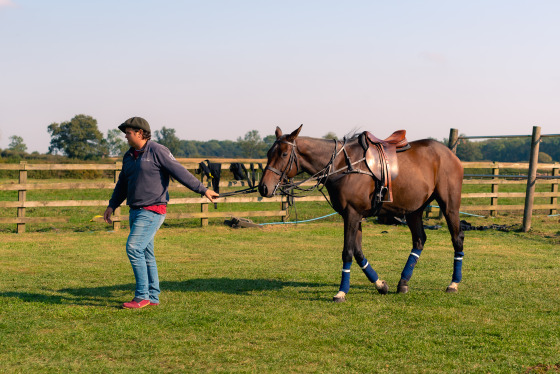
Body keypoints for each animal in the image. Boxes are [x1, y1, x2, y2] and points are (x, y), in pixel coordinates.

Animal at [260, 125, 466, 300]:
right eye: (269, 153)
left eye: (284, 153)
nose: (263, 187)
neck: (342, 166)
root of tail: (450, 154)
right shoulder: (354, 216)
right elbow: (358, 253)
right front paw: (380, 284)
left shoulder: (351, 214)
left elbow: (348, 252)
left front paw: (341, 292)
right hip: (414, 210)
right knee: (419, 240)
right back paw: (403, 283)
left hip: (449, 205)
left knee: (457, 238)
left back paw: (454, 284)